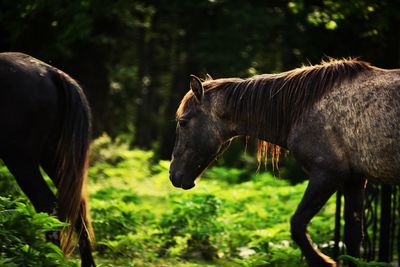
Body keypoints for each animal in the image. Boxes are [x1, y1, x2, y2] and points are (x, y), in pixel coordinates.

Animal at [168, 59, 400, 267]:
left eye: (183, 122)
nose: (173, 175)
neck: (303, 107)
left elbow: (297, 224)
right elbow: (353, 237)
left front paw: (323, 261)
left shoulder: (327, 175)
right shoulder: (354, 180)